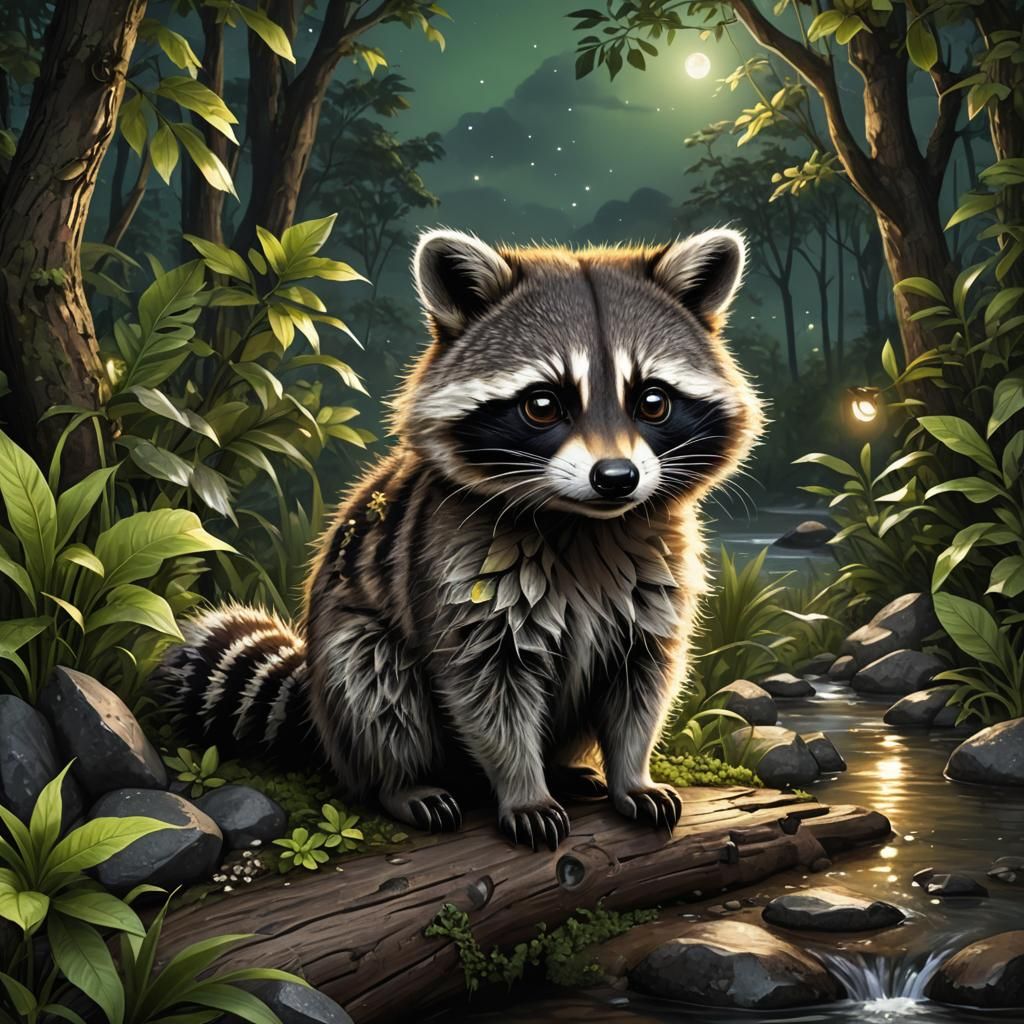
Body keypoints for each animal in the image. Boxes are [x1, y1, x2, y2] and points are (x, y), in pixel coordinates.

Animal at [157, 227, 763, 850]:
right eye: (543, 404)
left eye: (653, 401)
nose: (616, 477)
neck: (582, 521)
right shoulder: (458, 566)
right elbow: (487, 692)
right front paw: (522, 788)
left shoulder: (659, 573)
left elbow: (642, 682)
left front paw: (632, 774)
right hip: (349, 652)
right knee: (375, 684)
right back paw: (402, 782)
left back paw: (566, 768)